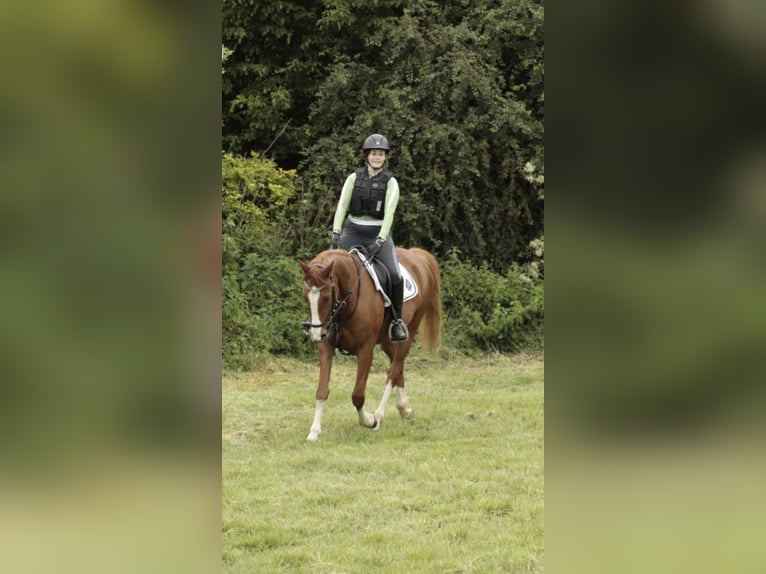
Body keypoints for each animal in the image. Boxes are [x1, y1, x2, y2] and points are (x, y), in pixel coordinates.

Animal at [302, 246, 444, 440]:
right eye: (305, 296)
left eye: (325, 297)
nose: (317, 334)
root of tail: (416, 254)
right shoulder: (326, 348)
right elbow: (322, 391)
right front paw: (314, 431)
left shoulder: (365, 351)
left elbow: (357, 395)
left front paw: (369, 420)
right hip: (386, 341)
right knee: (398, 367)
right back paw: (404, 409)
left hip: (409, 332)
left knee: (393, 371)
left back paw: (379, 415)